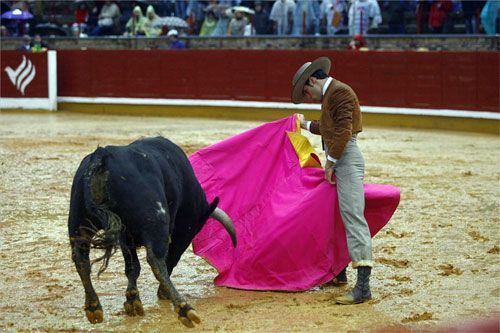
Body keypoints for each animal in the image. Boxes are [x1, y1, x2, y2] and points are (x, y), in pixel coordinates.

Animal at [67, 136, 237, 326]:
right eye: (191, 232)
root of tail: (101, 155)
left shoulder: (125, 236)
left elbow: (132, 266)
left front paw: (132, 301)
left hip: (79, 222)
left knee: (81, 259)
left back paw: (93, 307)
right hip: (156, 222)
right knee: (155, 260)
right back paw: (184, 308)